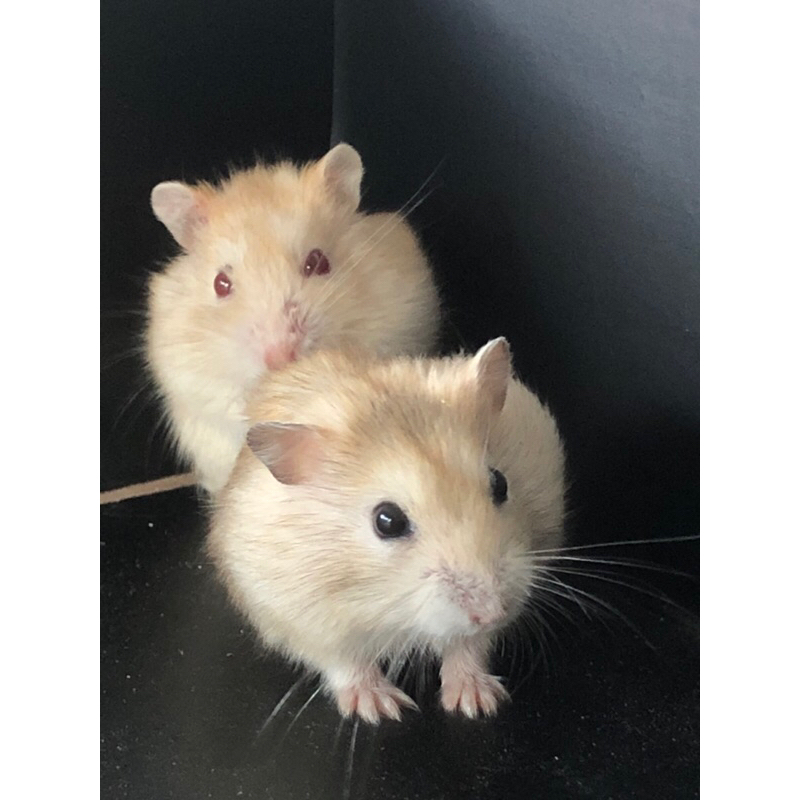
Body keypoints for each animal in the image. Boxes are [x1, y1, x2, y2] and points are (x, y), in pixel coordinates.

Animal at [207, 338, 565, 723]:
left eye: (500, 484)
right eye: (387, 521)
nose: (492, 613)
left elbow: (468, 646)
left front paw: (477, 702)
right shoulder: (302, 619)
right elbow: (345, 662)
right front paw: (382, 709)